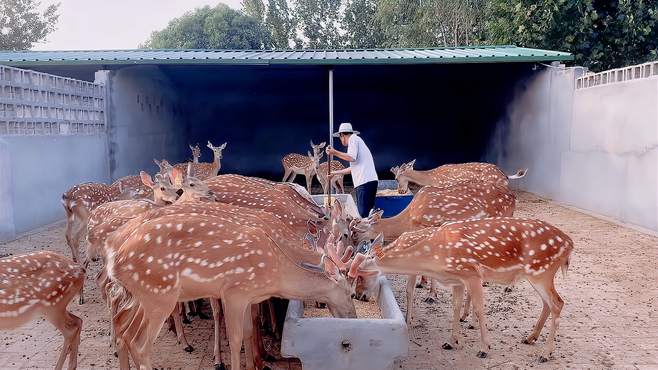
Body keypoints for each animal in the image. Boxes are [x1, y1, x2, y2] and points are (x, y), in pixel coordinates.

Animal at [352, 217, 572, 362]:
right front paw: (451, 341)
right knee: (548, 303)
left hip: (542, 271)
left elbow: (480, 309)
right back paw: (530, 338)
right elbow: (455, 307)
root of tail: (569, 244)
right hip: (538, 274)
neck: (436, 256)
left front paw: (484, 348)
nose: (358, 295)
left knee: (558, 303)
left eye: (360, 275)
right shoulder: (457, 280)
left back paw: (545, 353)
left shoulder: (472, 274)